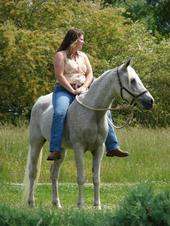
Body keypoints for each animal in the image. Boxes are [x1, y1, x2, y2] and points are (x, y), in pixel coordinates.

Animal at [22, 59, 154, 208]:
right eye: (132, 80)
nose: (150, 101)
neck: (92, 113)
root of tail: (39, 101)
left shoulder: (99, 149)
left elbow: (96, 178)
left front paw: (97, 205)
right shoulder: (79, 148)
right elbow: (81, 178)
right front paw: (80, 205)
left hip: (60, 150)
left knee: (54, 173)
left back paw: (57, 204)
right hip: (36, 143)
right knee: (33, 172)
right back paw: (31, 203)